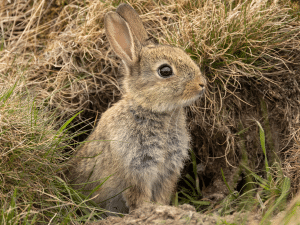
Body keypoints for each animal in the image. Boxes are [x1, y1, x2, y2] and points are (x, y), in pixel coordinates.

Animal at [65, 3, 206, 214]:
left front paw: (166, 208)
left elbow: (162, 193)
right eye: (165, 71)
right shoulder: (136, 168)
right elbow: (138, 196)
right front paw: (148, 211)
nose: (201, 84)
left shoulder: (168, 171)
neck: (152, 110)